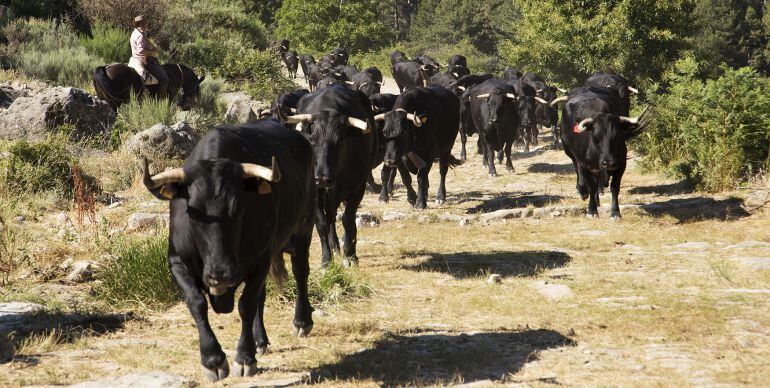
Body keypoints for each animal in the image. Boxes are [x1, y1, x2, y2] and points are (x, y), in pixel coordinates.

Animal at [142, 120, 314, 382]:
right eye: (191, 212)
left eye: (239, 208)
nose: (220, 274)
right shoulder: (177, 262)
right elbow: (196, 302)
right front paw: (212, 360)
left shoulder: (260, 260)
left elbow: (246, 304)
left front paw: (244, 358)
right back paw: (260, 340)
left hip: (305, 226)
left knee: (300, 271)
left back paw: (302, 321)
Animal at [284, 85, 376, 266]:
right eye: (312, 140)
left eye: (340, 141)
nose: (322, 178)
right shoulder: (315, 193)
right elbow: (321, 224)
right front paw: (326, 259)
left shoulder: (358, 188)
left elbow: (348, 219)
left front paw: (351, 255)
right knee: (330, 218)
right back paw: (334, 247)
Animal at [560, 86, 648, 218]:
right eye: (596, 136)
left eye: (618, 135)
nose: (610, 163)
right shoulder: (584, 165)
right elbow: (591, 186)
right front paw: (591, 210)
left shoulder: (621, 165)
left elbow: (614, 187)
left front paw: (615, 212)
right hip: (571, 153)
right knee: (578, 171)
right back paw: (583, 192)